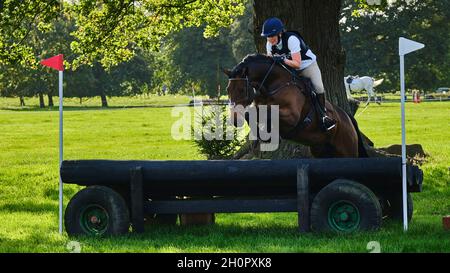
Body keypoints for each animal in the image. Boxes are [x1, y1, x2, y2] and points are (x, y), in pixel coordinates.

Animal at [223, 53, 368, 158]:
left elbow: (266, 113)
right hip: (321, 150)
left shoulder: (292, 116)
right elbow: (253, 113)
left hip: (347, 149)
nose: (235, 120)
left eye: (242, 90)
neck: (273, 85)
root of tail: (347, 117)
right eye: (227, 90)